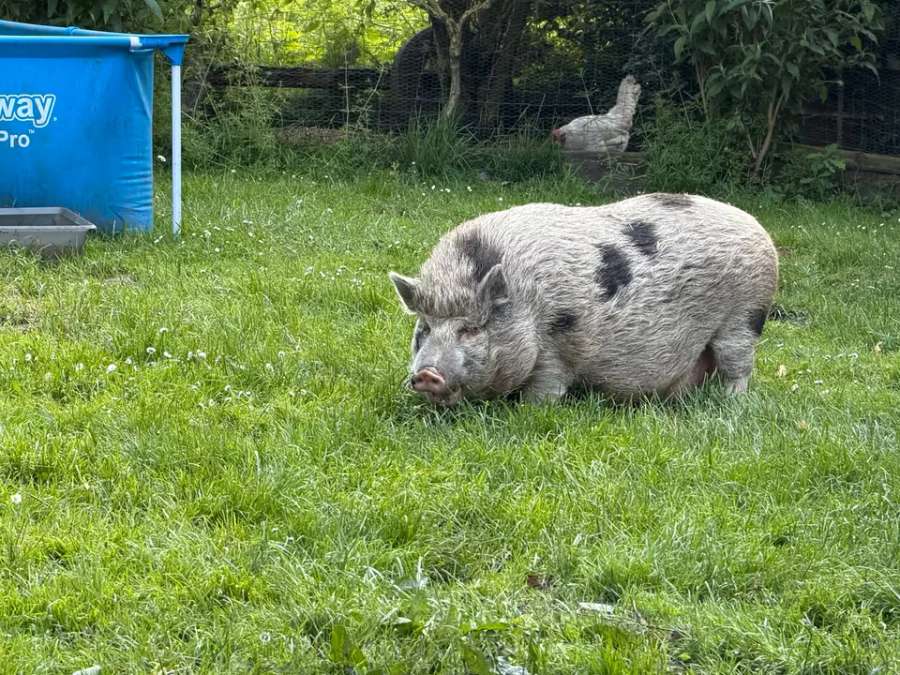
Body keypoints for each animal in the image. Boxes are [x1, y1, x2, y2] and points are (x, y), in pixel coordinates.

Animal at [388, 193, 779, 406]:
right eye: (424, 328)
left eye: (470, 329)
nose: (427, 374)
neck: (528, 305)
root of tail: (757, 226)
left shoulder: (559, 349)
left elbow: (546, 388)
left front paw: (531, 408)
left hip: (744, 315)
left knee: (738, 367)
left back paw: (731, 401)